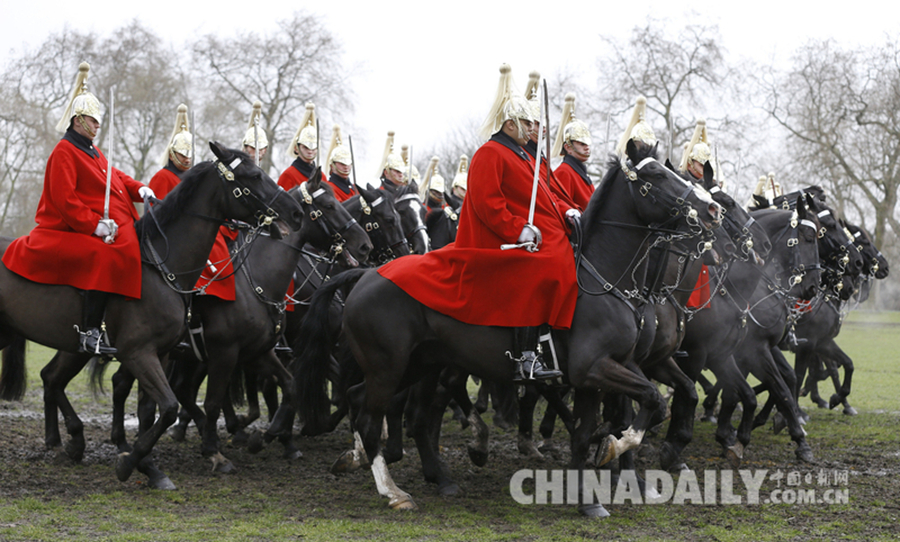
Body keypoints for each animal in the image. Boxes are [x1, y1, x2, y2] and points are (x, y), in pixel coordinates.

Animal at [0, 143, 304, 488]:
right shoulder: (145, 353)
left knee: (52, 379)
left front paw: (148, 465)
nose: (295, 212)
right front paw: (133, 462)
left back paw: (68, 443)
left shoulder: (165, 353)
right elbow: (172, 406)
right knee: (58, 380)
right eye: (253, 176)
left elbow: (154, 410)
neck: (162, 267)